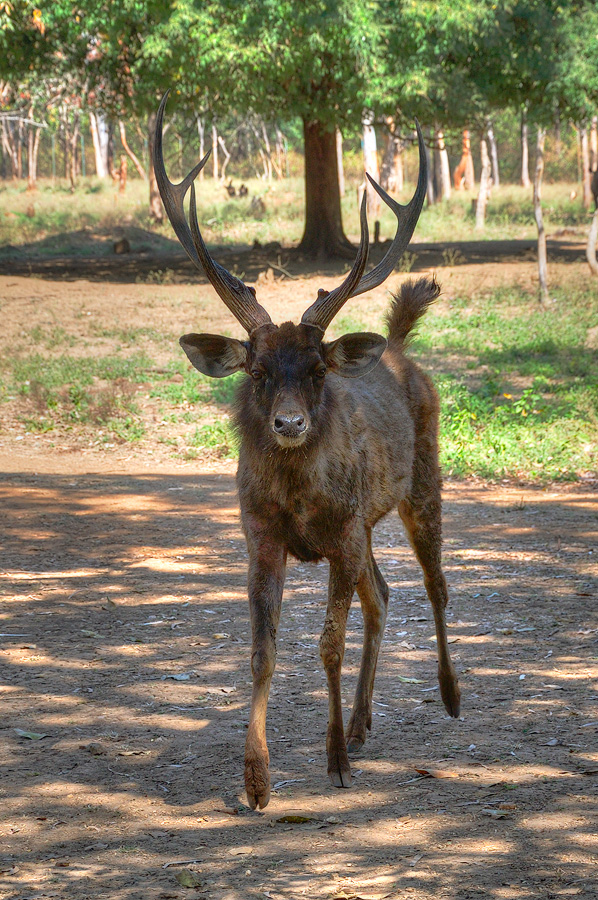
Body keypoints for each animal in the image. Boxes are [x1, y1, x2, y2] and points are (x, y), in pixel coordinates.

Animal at [152, 91, 462, 808]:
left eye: (318, 370)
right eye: (258, 370)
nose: (289, 424)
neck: (297, 500)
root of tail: (397, 346)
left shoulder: (341, 533)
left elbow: (328, 645)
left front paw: (335, 762)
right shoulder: (261, 535)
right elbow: (262, 651)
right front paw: (256, 781)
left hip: (421, 482)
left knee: (434, 587)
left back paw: (450, 696)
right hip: (368, 523)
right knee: (384, 595)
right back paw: (363, 722)